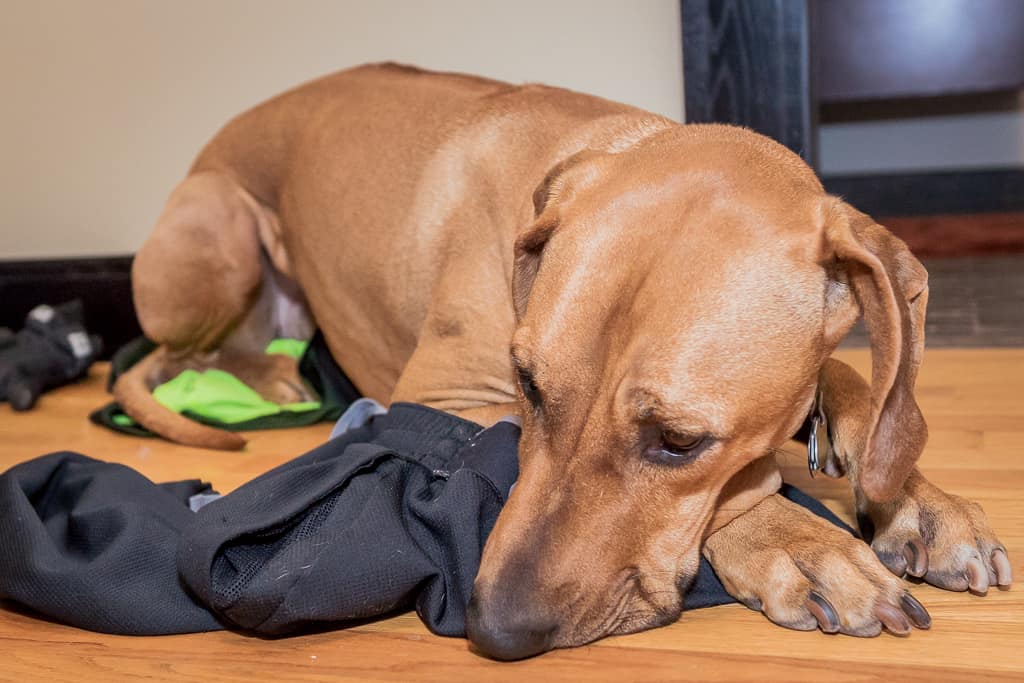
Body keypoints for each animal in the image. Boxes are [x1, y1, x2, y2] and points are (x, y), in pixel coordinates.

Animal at [116, 63, 1011, 655]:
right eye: (529, 386)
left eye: (678, 442)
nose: (494, 629)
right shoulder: (446, 397)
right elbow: (752, 484)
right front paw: (796, 535)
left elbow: (862, 383)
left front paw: (914, 494)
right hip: (219, 228)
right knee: (174, 353)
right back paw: (267, 374)